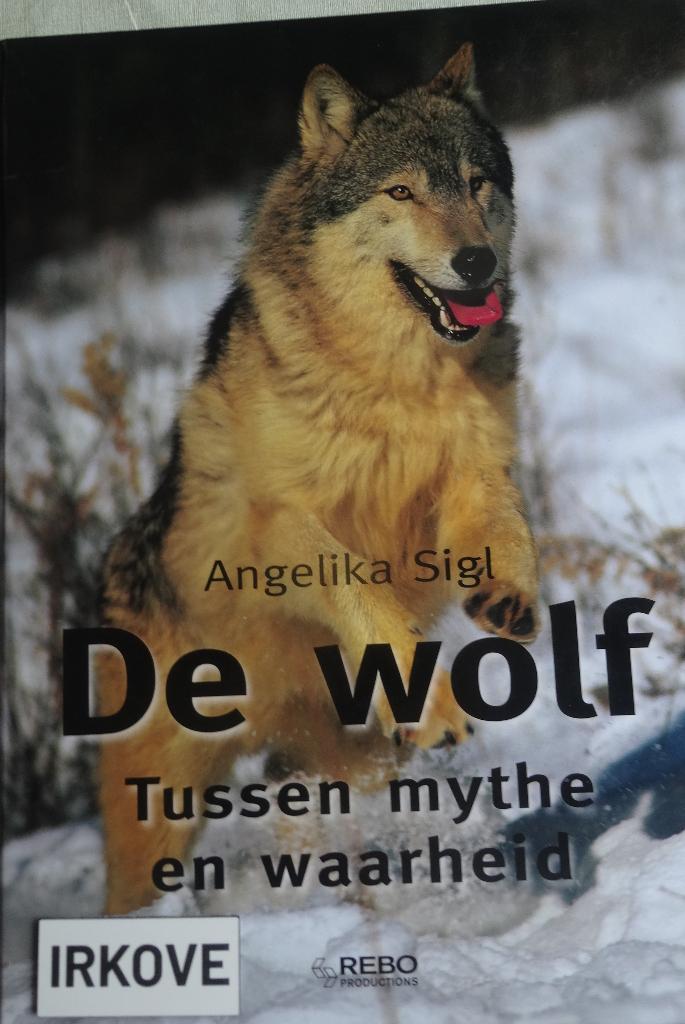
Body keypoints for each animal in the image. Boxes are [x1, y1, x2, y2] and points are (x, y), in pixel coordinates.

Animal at [99, 43, 539, 914]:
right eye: (401, 191)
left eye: (476, 183)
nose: (475, 260)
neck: (398, 381)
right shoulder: (279, 527)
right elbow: (358, 589)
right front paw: (434, 702)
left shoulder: (472, 476)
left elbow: (510, 529)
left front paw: (508, 595)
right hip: (157, 815)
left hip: (343, 763)